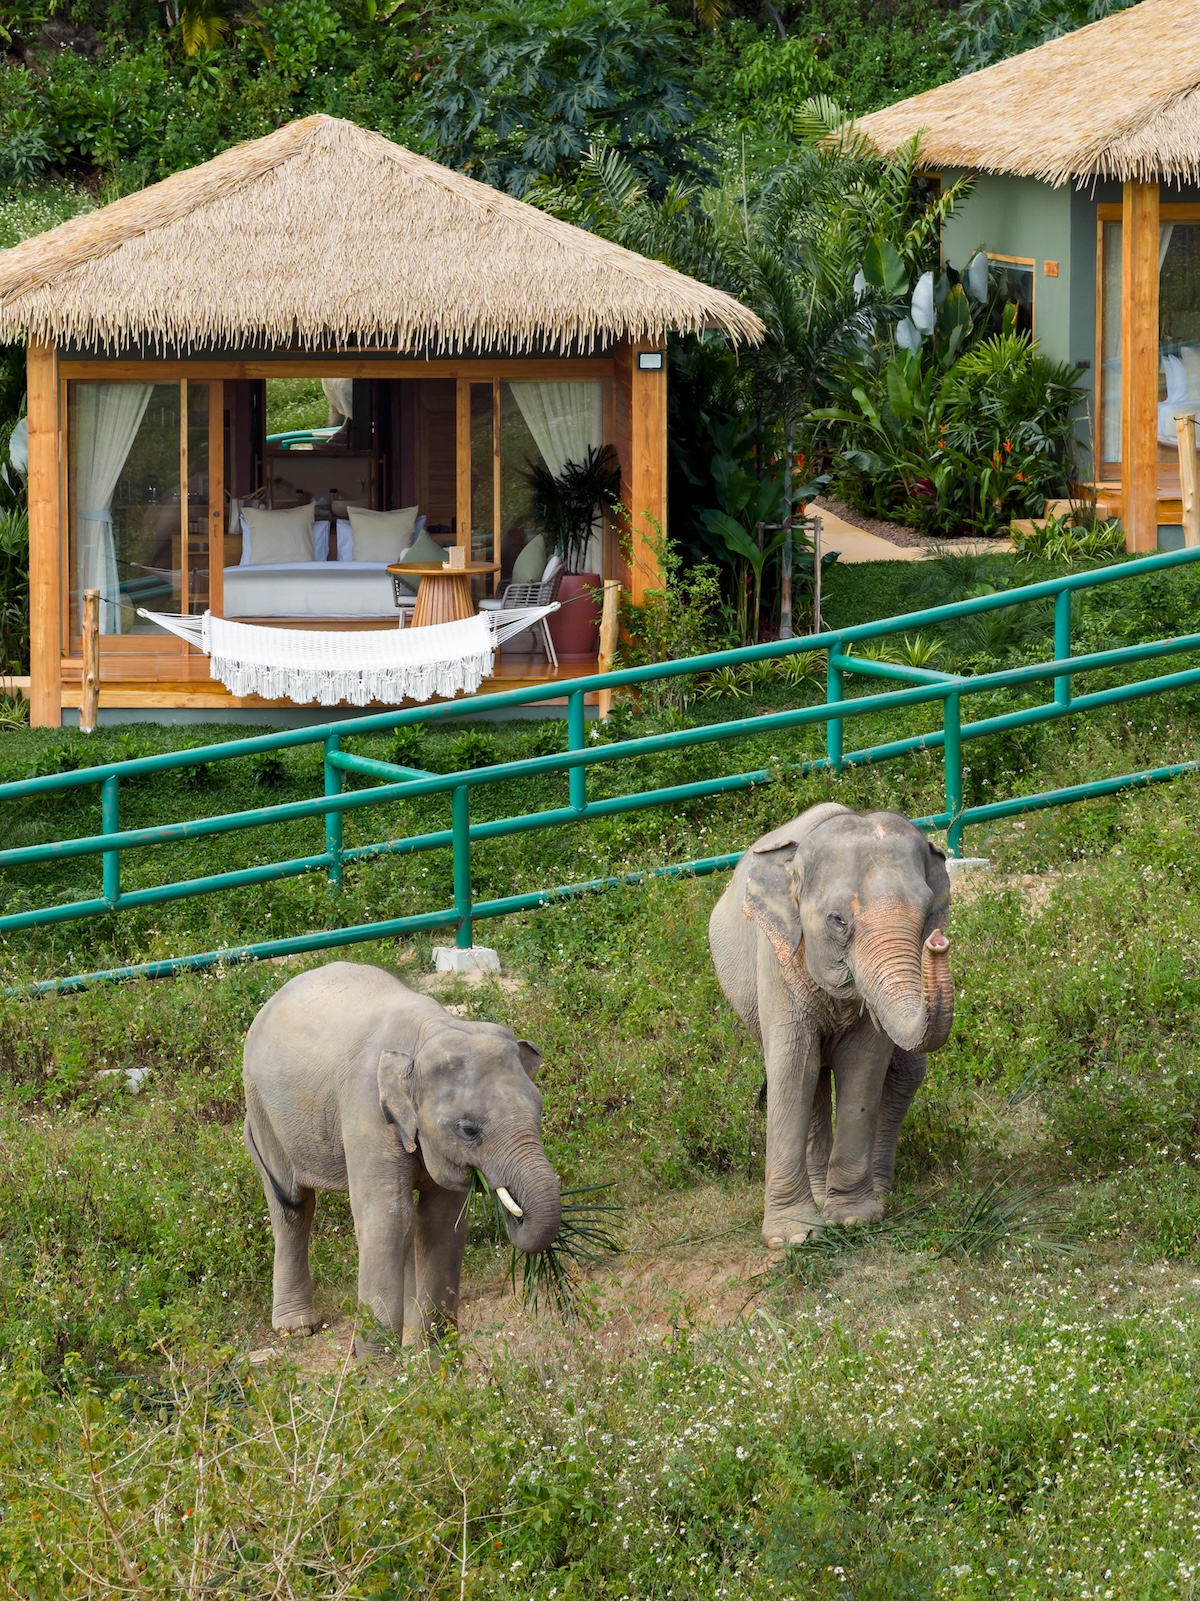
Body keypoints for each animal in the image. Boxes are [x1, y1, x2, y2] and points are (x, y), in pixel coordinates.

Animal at [242, 961, 561, 1344]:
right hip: (262, 1108)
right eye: (468, 1129)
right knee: (292, 1204)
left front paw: (431, 1349)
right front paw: (379, 1357)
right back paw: (298, 1328)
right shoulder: (366, 1110)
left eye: (539, 1111)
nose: (516, 1212)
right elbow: (387, 1219)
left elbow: (441, 1220)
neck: (429, 1031)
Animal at [709, 803, 953, 1248]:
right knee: (810, 1075)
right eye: (837, 920)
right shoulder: (778, 959)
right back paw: (820, 1201)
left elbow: (863, 1066)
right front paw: (792, 1238)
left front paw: (853, 1220)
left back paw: (869, 1194)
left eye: (929, 915)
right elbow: (793, 1068)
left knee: (901, 1074)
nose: (938, 942)